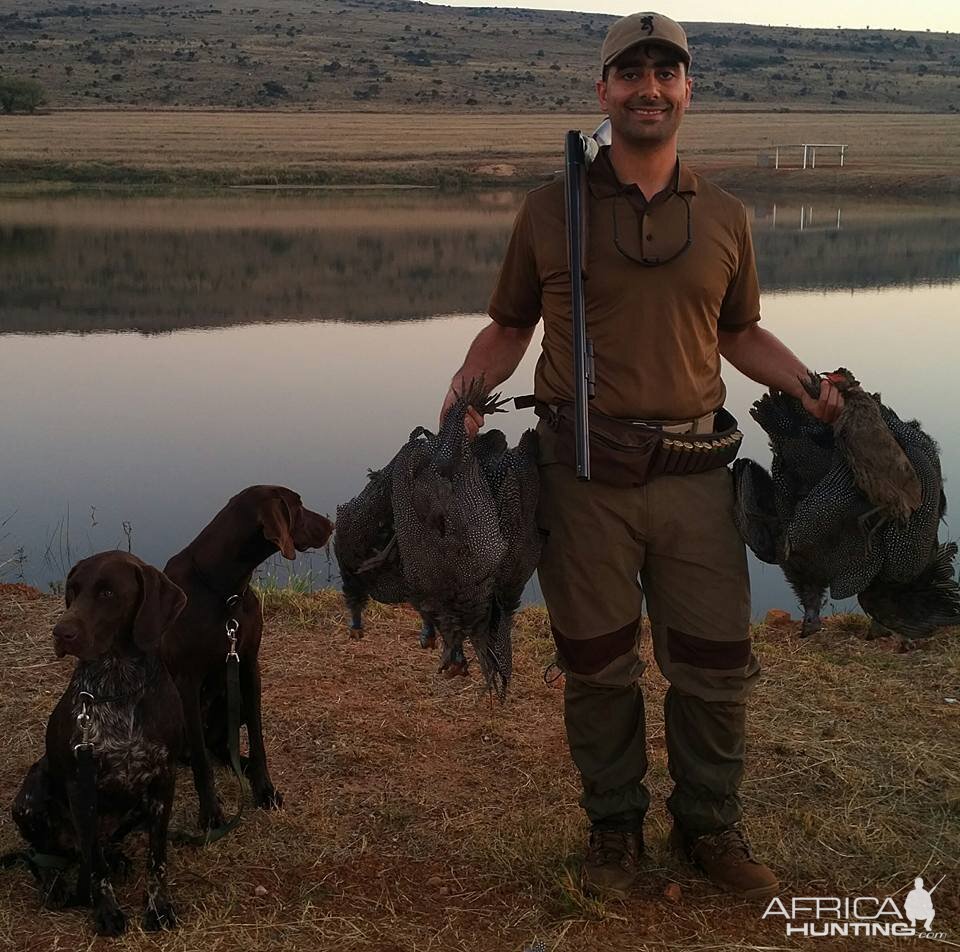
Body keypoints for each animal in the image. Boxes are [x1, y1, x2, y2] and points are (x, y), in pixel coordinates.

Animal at [11, 552, 188, 936]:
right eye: (73, 590)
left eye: (107, 593)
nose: (61, 633)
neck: (117, 685)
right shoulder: (82, 787)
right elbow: (95, 867)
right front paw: (106, 909)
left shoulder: (162, 781)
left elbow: (157, 858)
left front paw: (158, 906)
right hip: (28, 798)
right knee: (46, 856)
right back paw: (55, 884)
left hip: (136, 808)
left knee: (98, 848)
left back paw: (116, 857)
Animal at [162, 488, 334, 828]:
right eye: (298, 507)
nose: (331, 525)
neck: (226, 593)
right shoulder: (187, 680)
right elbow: (201, 763)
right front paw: (211, 814)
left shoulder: (249, 666)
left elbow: (257, 739)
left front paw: (264, 788)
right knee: (193, 753)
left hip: (233, 701)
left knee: (219, 747)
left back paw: (241, 765)